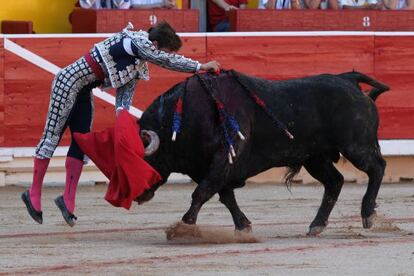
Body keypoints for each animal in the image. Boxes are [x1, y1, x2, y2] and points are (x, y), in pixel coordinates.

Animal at [137, 69, 390, 235]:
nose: (137, 196)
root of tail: (348, 79)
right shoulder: (208, 166)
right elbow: (224, 196)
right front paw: (243, 226)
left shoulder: (225, 158)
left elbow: (202, 192)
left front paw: (184, 227)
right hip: (314, 158)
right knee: (335, 181)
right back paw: (316, 225)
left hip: (356, 146)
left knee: (377, 168)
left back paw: (367, 214)